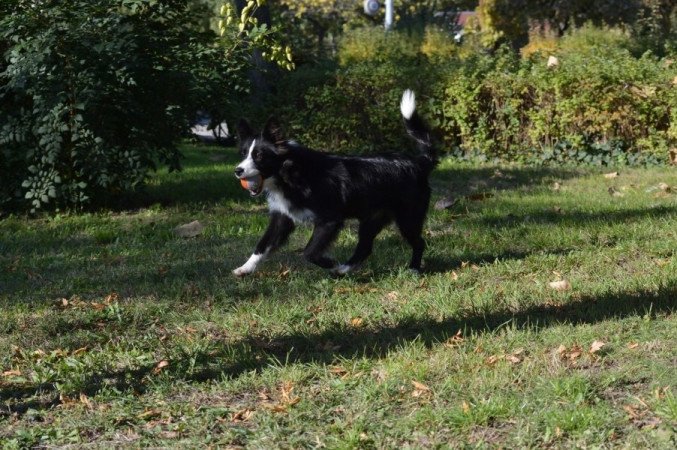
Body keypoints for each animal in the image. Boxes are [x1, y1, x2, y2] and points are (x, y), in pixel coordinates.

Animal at [232, 89, 436, 276]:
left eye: (259, 156)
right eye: (243, 153)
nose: (237, 170)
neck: (291, 172)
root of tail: (419, 162)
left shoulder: (329, 220)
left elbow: (309, 252)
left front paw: (330, 263)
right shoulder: (282, 218)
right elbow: (262, 245)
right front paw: (245, 268)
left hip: (408, 219)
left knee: (419, 242)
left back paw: (413, 268)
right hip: (372, 219)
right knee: (365, 248)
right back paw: (344, 270)